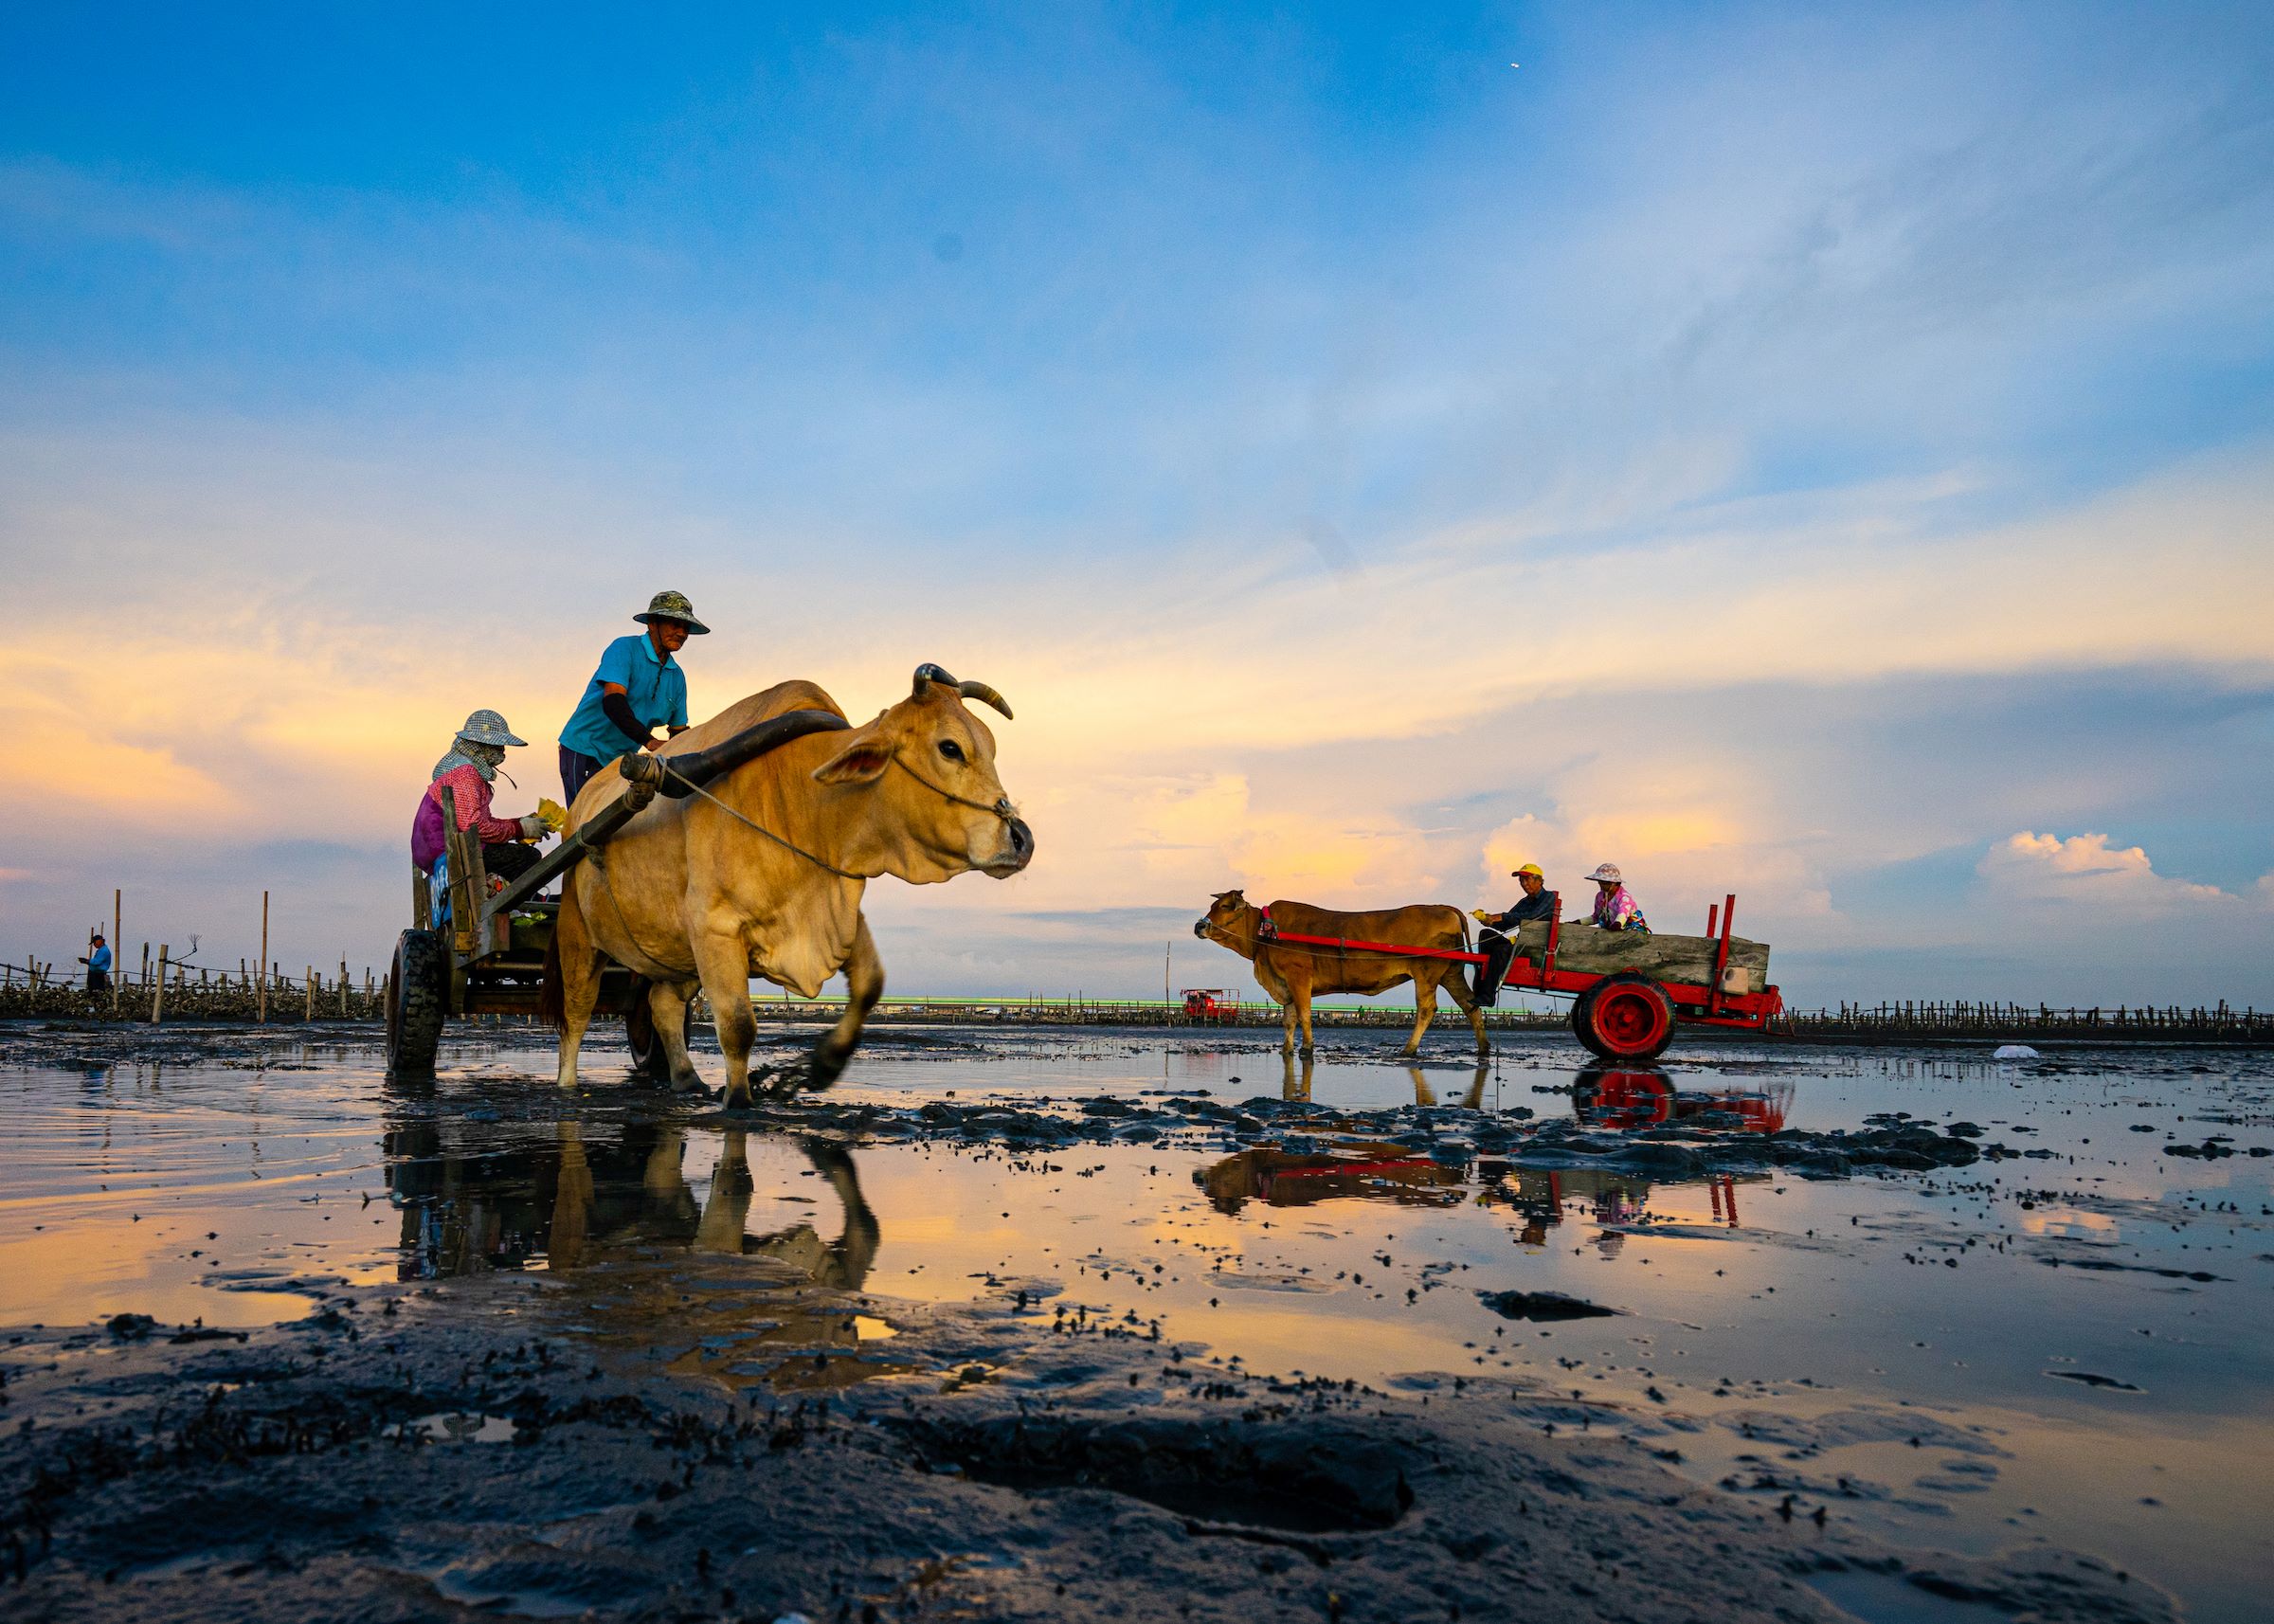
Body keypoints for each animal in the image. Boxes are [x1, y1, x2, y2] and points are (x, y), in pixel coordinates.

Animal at [546, 659, 1027, 1100]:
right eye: (950, 747)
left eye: (991, 747)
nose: (1021, 839)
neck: (801, 799)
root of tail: (580, 808)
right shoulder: (715, 929)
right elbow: (738, 1026)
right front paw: (739, 1102)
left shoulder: (840, 912)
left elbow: (870, 985)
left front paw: (820, 1066)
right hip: (578, 933)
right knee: (576, 1012)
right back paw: (567, 1085)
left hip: (674, 950)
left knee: (661, 1004)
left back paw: (685, 1078)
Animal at [1191, 892, 1491, 1055]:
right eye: (1213, 906)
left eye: (1225, 907)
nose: (1198, 926)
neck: (1265, 933)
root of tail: (1443, 907)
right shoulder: (1285, 984)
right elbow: (1288, 1020)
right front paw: (1286, 1049)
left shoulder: (1299, 977)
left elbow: (1304, 1015)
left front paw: (1307, 1048)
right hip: (1452, 974)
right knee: (1471, 1006)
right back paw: (1483, 1048)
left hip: (1427, 974)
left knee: (1427, 1009)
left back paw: (1408, 1049)